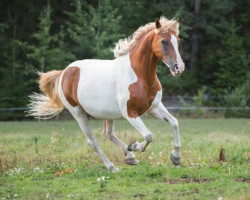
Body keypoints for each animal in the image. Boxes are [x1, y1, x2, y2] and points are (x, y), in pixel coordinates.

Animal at [28, 17, 185, 173]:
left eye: (178, 40)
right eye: (163, 41)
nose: (179, 68)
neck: (139, 76)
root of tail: (64, 72)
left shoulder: (154, 107)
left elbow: (174, 122)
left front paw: (176, 158)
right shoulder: (130, 113)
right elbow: (149, 135)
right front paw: (134, 146)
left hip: (109, 114)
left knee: (108, 133)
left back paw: (130, 157)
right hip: (78, 113)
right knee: (93, 141)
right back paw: (113, 167)